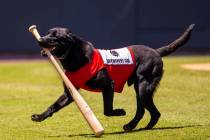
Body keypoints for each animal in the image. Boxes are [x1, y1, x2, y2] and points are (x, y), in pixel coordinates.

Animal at [31, 23, 195, 130]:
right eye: (47, 33)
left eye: (55, 36)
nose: (39, 40)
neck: (75, 57)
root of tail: (156, 51)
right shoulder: (70, 93)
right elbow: (53, 106)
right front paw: (39, 116)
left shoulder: (108, 85)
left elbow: (107, 110)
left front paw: (120, 112)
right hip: (144, 90)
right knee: (154, 113)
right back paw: (144, 127)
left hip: (143, 86)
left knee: (142, 110)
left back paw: (131, 125)